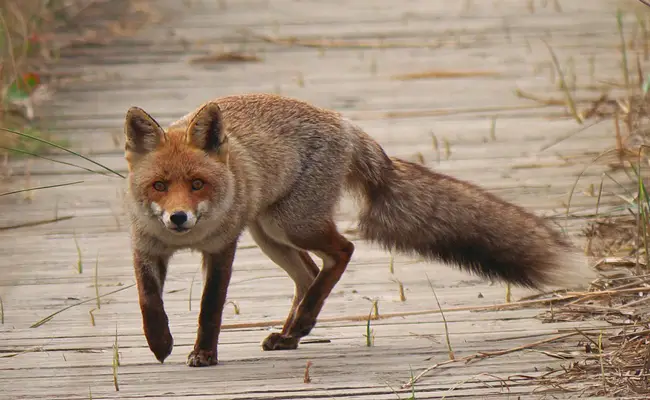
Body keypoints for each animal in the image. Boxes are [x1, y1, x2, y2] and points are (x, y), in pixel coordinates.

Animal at [121, 92, 592, 368]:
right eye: (159, 186)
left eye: (198, 184)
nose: (178, 218)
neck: (188, 240)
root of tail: (345, 124)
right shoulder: (145, 245)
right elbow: (147, 300)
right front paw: (159, 342)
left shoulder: (222, 249)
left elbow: (210, 308)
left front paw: (203, 352)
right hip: (269, 233)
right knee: (310, 275)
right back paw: (292, 333)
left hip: (288, 224)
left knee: (342, 251)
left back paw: (300, 325)